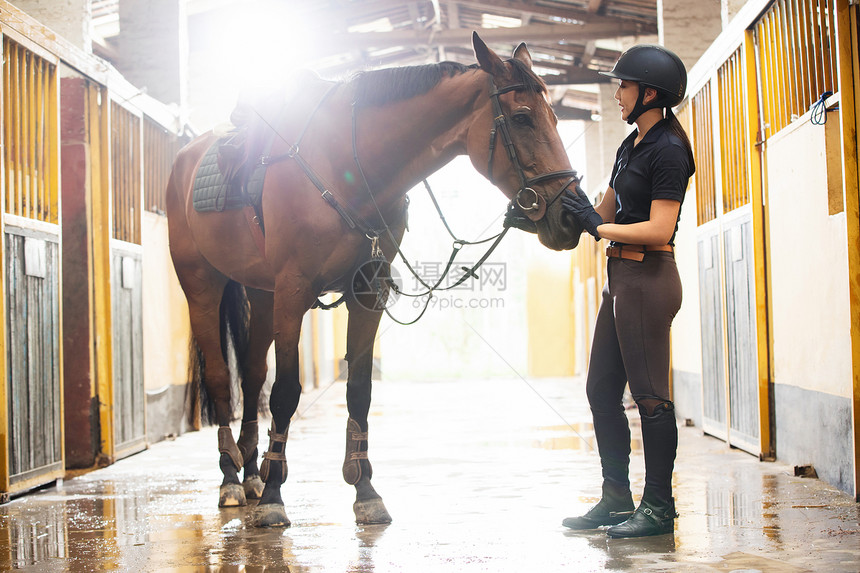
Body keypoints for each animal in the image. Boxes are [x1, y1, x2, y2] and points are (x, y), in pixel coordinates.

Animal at [166, 32, 584, 528]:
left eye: (556, 118)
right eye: (521, 117)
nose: (570, 215)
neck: (348, 164)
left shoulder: (367, 291)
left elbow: (359, 390)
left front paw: (364, 490)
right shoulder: (293, 290)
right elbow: (286, 392)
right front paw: (273, 496)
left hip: (261, 293)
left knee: (251, 376)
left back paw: (249, 474)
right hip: (204, 286)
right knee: (220, 377)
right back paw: (232, 479)